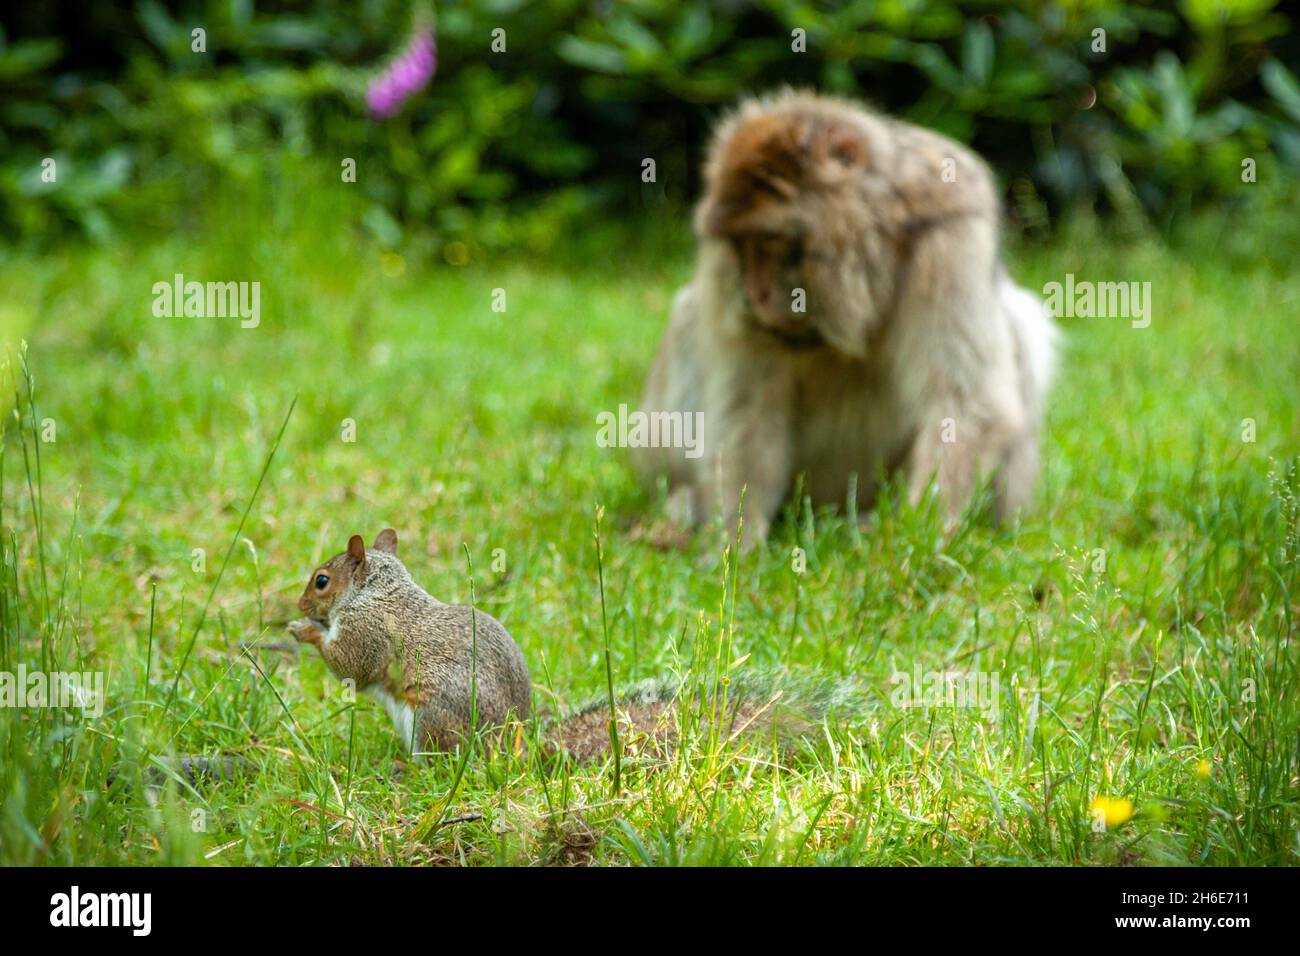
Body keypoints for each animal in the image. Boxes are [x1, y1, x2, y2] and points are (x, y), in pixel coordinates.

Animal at [287, 528, 852, 759]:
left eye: (321, 581)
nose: (298, 604)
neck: (378, 590)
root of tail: (516, 748)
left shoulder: (368, 630)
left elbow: (351, 666)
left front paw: (305, 632)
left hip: (434, 717)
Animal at [634, 90, 1060, 546]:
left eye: (769, 240)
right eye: (739, 246)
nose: (754, 294)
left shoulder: (952, 230)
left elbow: (966, 403)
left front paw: (916, 540)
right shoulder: (721, 277)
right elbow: (747, 411)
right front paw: (735, 545)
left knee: (1019, 324)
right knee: (688, 319)